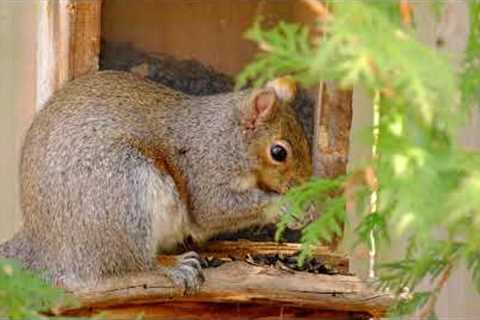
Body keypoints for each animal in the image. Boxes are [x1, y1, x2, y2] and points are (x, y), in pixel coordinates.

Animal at [0, 70, 312, 296]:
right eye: (278, 152)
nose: (305, 184)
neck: (226, 137)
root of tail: (45, 245)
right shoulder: (204, 169)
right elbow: (213, 210)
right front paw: (286, 206)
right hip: (123, 189)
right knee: (132, 264)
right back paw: (171, 265)